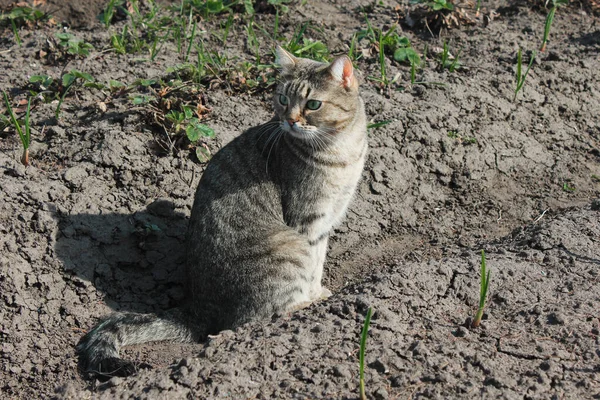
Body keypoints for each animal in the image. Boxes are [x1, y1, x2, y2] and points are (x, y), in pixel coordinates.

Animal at [75, 45, 366, 380]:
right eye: (283, 99)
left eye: (313, 104)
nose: (289, 121)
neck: (341, 149)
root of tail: (198, 309)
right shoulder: (308, 220)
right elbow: (311, 268)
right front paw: (314, 299)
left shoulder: (327, 220)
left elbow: (318, 264)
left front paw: (318, 292)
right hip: (288, 246)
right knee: (251, 322)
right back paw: (297, 309)